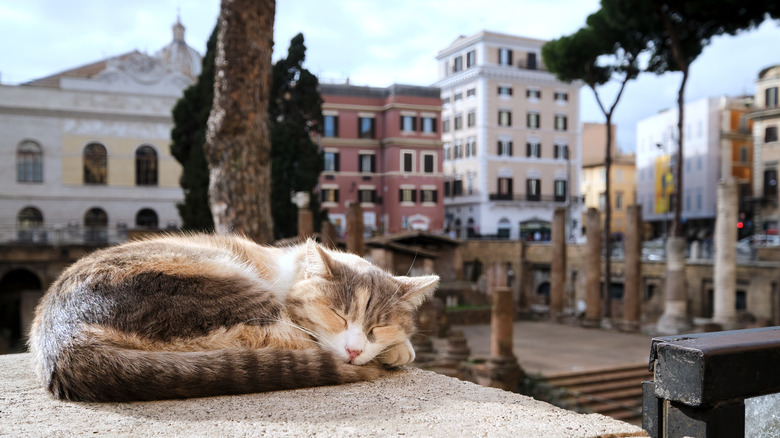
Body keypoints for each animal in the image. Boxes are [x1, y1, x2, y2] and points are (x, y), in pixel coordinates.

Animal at [29, 234, 438, 402]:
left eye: (376, 327)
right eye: (337, 314)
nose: (354, 350)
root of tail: (61, 341)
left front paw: (393, 346)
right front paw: (398, 351)